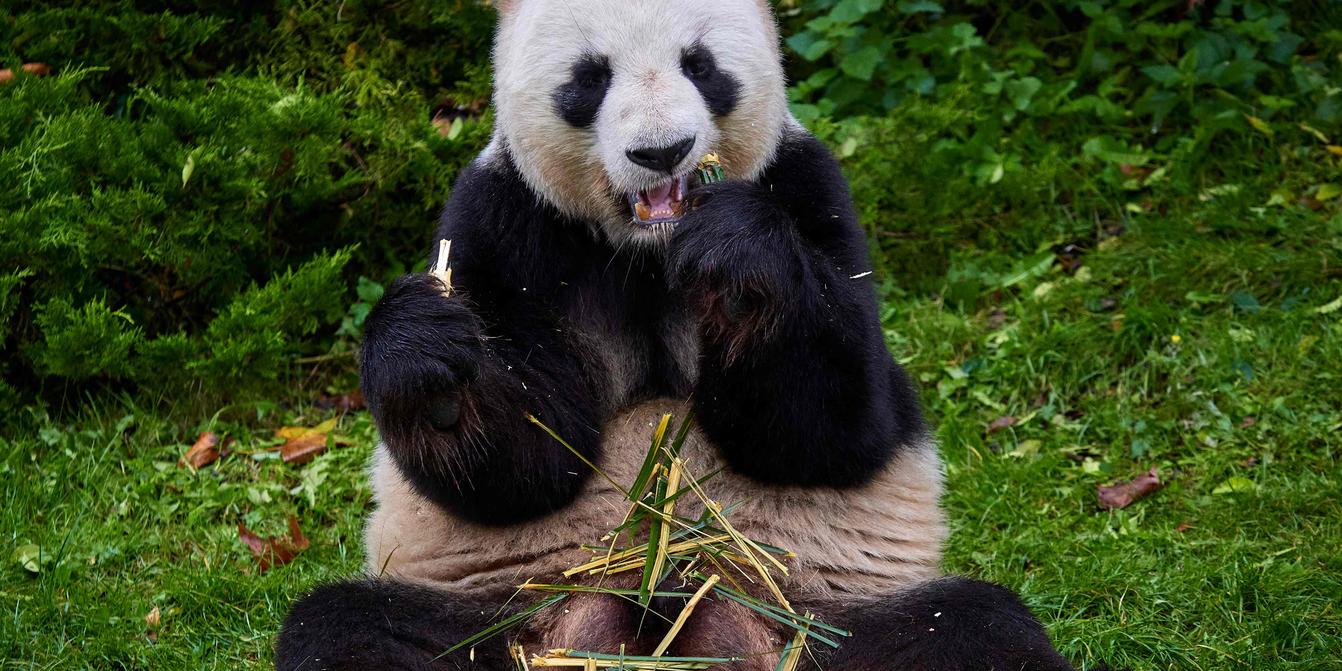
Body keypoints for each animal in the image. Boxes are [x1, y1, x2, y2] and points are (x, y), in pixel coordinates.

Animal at [277, 1, 1086, 669]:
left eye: (700, 64)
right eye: (590, 77)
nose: (662, 151)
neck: (650, 248)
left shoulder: (810, 187)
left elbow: (835, 428)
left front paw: (739, 257)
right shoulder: (506, 222)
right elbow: (525, 466)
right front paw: (435, 365)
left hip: (820, 619)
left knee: (972, 627)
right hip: (506, 618)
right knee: (351, 627)